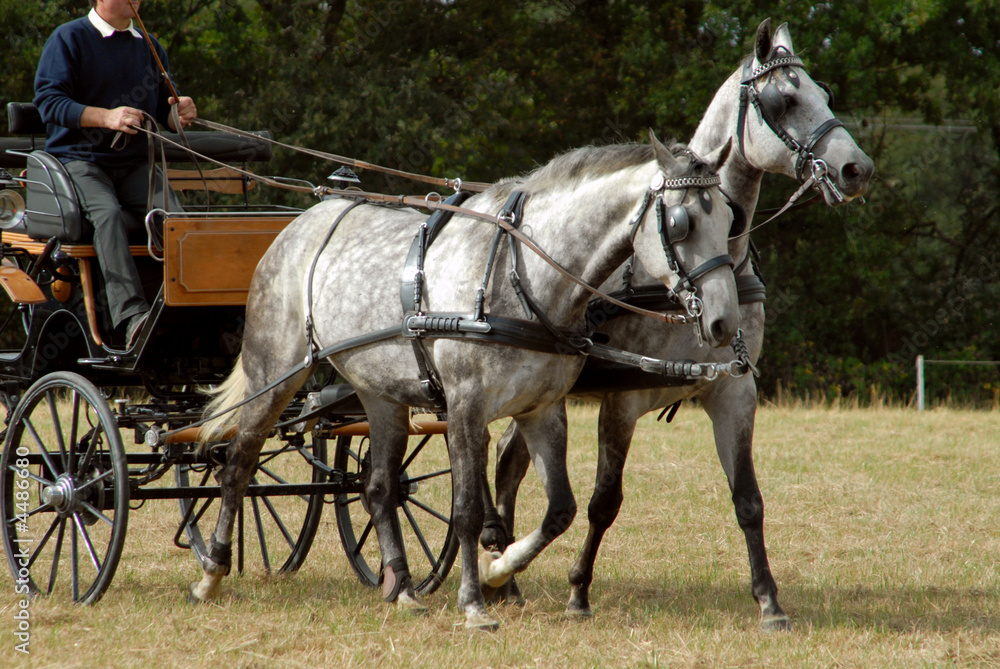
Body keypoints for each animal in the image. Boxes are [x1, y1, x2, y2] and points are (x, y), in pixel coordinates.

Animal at [188, 133, 740, 628]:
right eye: (682, 222)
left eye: (729, 218)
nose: (722, 322)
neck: (522, 275)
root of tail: (297, 227)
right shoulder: (465, 407)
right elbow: (468, 510)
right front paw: (475, 602)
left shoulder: (541, 409)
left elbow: (559, 509)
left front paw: (500, 570)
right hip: (275, 373)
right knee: (238, 462)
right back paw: (212, 571)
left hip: (380, 394)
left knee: (379, 488)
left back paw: (403, 588)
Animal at [488, 18, 872, 628]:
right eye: (783, 101)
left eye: (827, 94)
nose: (857, 169)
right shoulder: (622, 401)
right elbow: (604, 502)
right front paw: (578, 593)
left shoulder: (734, 392)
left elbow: (748, 501)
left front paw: (769, 601)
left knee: (508, 463)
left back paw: (507, 577)